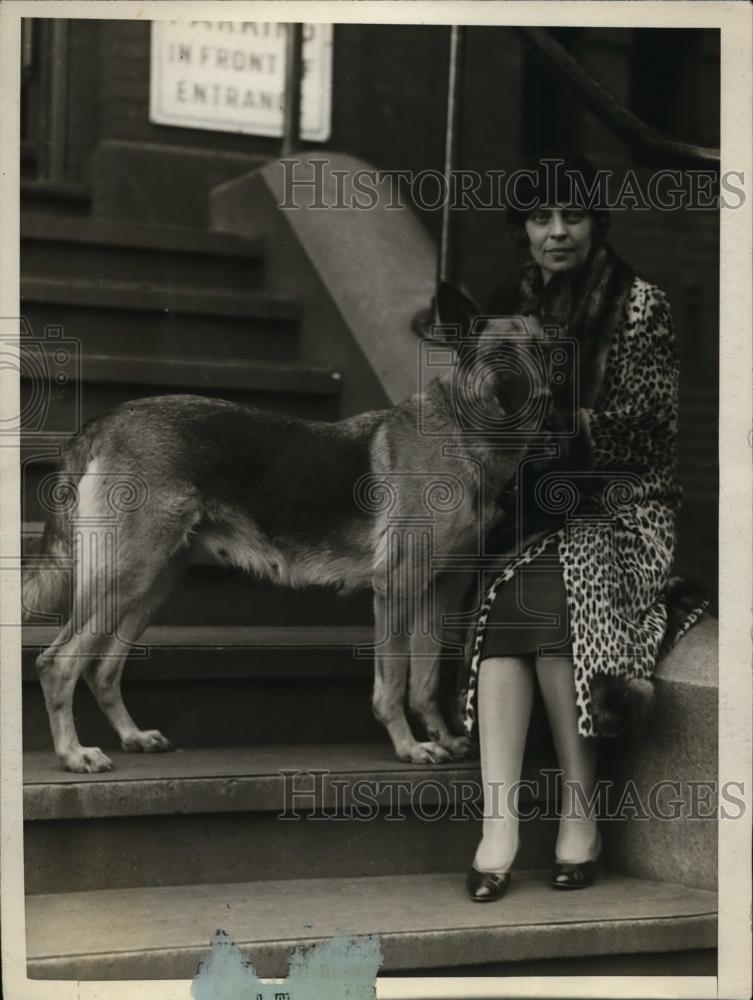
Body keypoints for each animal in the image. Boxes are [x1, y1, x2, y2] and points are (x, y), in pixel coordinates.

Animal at [25, 284, 552, 772]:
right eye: (501, 356)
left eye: (543, 349)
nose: (544, 397)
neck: (464, 436)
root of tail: (106, 419)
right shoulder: (398, 588)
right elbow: (394, 682)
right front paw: (408, 746)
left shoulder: (441, 589)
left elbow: (424, 679)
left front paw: (440, 738)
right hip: (126, 577)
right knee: (58, 663)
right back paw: (73, 754)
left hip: (152, 583)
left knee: (102, 667)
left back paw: (131, 736)